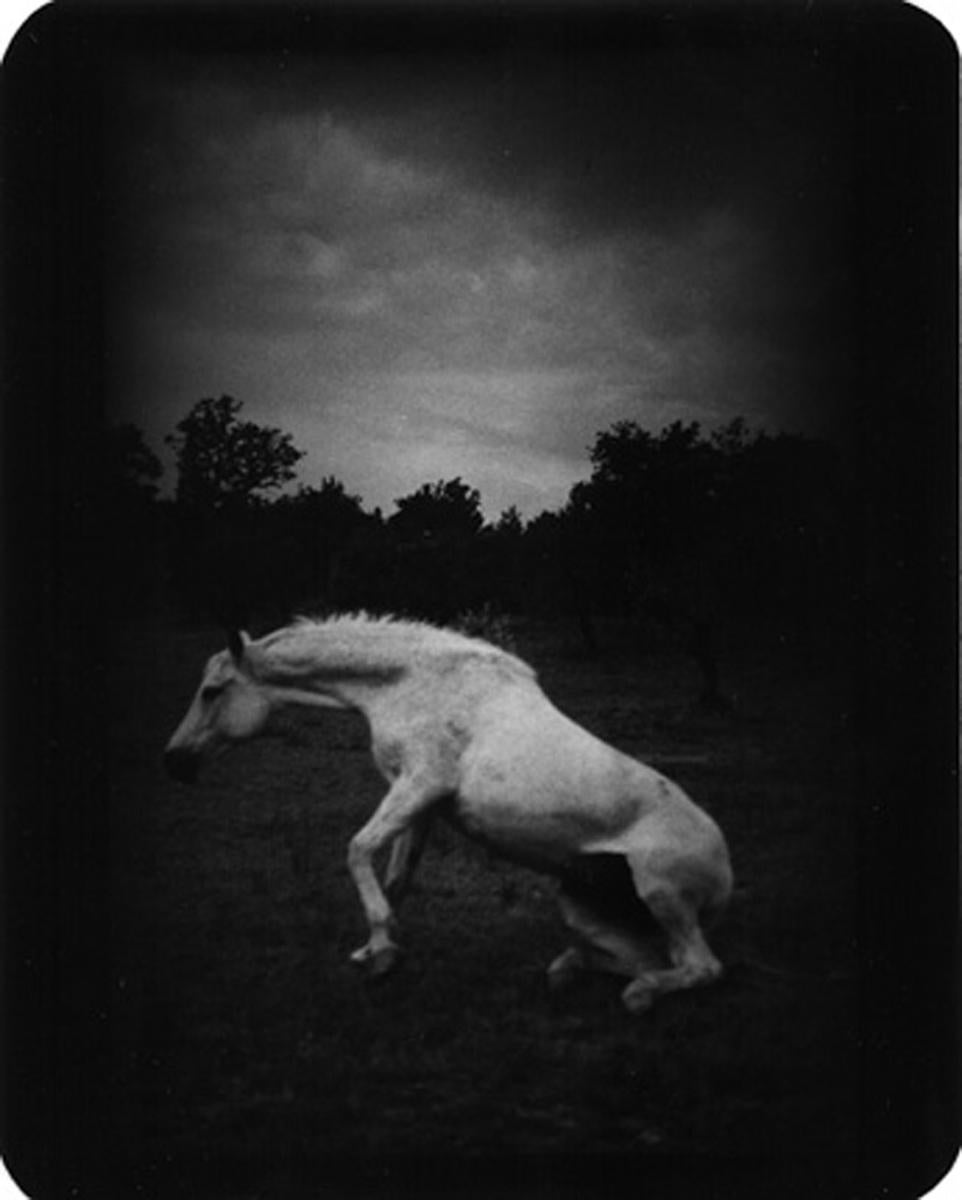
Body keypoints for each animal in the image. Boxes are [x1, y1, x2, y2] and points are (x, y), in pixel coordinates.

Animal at [165, 614, 729, 1008]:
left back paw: (638, 995)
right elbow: (394, 878)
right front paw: (376, 949)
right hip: (583, 907)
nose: (173, 762)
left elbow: (357, 850)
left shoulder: (420, 785)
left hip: (662, 894)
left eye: (211, 692)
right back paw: (568, 969)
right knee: (643, 959)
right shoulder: (421, 804)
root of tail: (725, 872)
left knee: (699, 967)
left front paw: (382, 953)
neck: (408, 682)